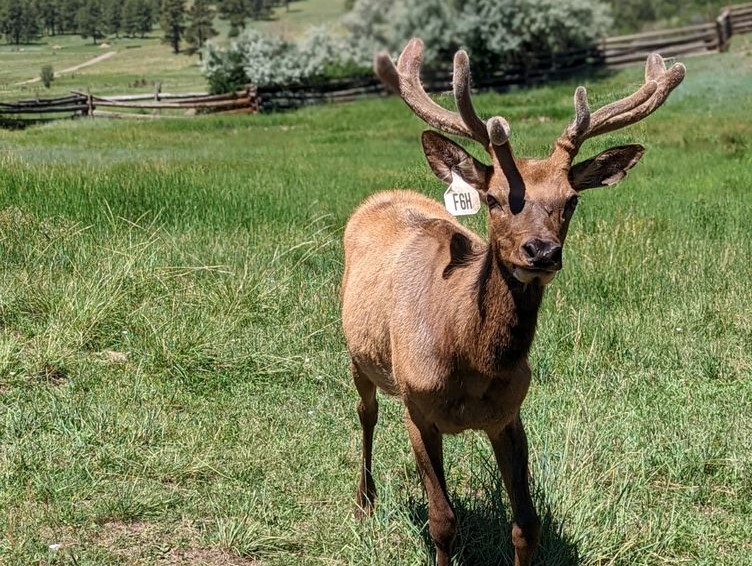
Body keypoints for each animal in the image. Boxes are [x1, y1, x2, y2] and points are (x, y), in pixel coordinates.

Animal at [340, 40, 680, 566]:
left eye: (571, 199)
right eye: (495, 198)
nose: (541, 251)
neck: (467, 360)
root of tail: (381, 197)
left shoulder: (509, 412)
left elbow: (526, 525)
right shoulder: (417, 406)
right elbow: (442, 521)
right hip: (360, 357)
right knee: (365, 414)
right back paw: (364, 501)